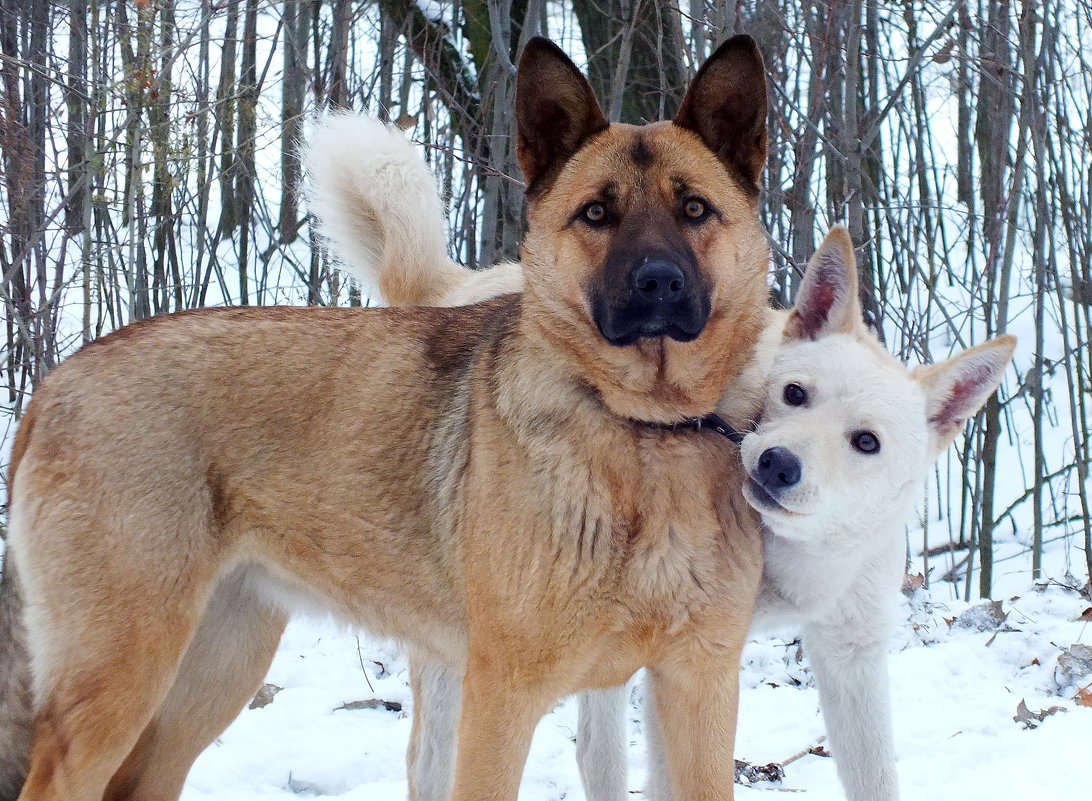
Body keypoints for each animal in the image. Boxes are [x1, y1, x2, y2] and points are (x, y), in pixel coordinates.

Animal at [0, 36, 768, 801]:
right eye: (597, 215)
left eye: (694, 208)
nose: (658, 282)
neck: (648, 432)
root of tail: (57, 380)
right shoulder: (503, 697)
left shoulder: (699, 687)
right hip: (120, 676)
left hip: (215, 668)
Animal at [301, 116, 1013, 801]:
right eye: (794, 393)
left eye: (866, 442)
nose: (776, 465)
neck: (794, 560)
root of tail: (463, 286)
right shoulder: (672, 656)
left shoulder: (847, 655)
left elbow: (875, 776)